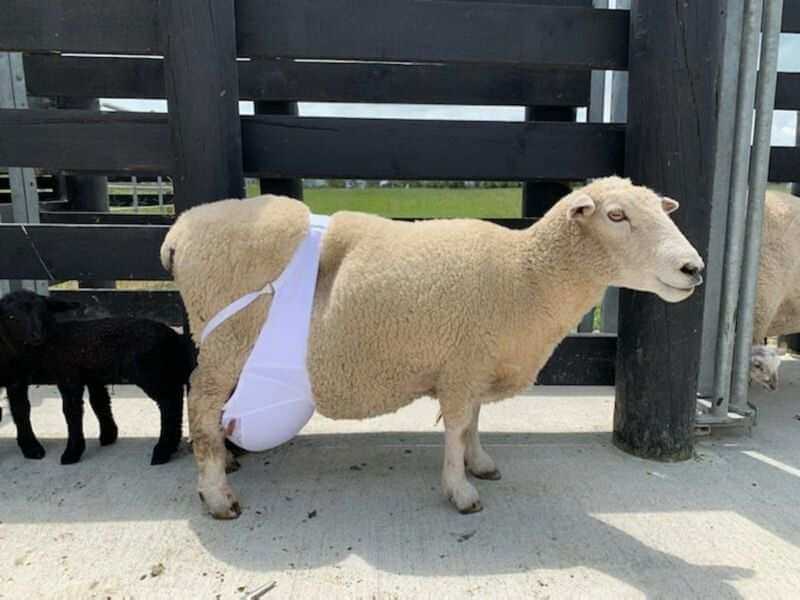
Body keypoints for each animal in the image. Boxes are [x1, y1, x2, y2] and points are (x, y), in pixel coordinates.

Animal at [0, 290, 195, 465]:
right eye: (11, 316)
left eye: (42, 312)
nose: (37, 336)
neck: (53, 340)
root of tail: (174, 337)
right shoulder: (93, 376)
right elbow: (100, 403)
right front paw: (109, 435)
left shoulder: (69, 375)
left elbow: (71, 411)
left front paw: (72, 452)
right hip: (163, 370)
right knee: (175, 397)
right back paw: (171, 445)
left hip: (149, 371)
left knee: (169, 401)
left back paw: (163, 450)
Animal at [162, 176, 704, 519]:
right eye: (616, 215)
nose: (693, 268)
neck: (526, 275)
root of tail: (180, 228)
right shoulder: (462, 365)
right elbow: (458, 428)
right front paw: (460, 490)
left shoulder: (476, 361)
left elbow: (477, 422)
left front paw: (479, 463)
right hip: (226, 338)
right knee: (202, 403)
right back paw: (217, 494)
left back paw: (225, 462)